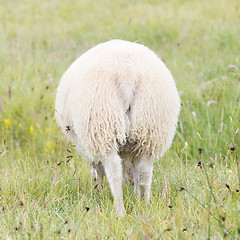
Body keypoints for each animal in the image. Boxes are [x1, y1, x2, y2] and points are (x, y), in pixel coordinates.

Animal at [55, 39, 181, 216]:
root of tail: (127, 74)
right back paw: (144, 205)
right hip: (151, 127)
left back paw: (119, 211)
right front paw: (136, 195)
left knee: (114, 170)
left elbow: (97, 170)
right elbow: (135, 172)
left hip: (102, 124)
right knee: (144, 171)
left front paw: (98, 193)